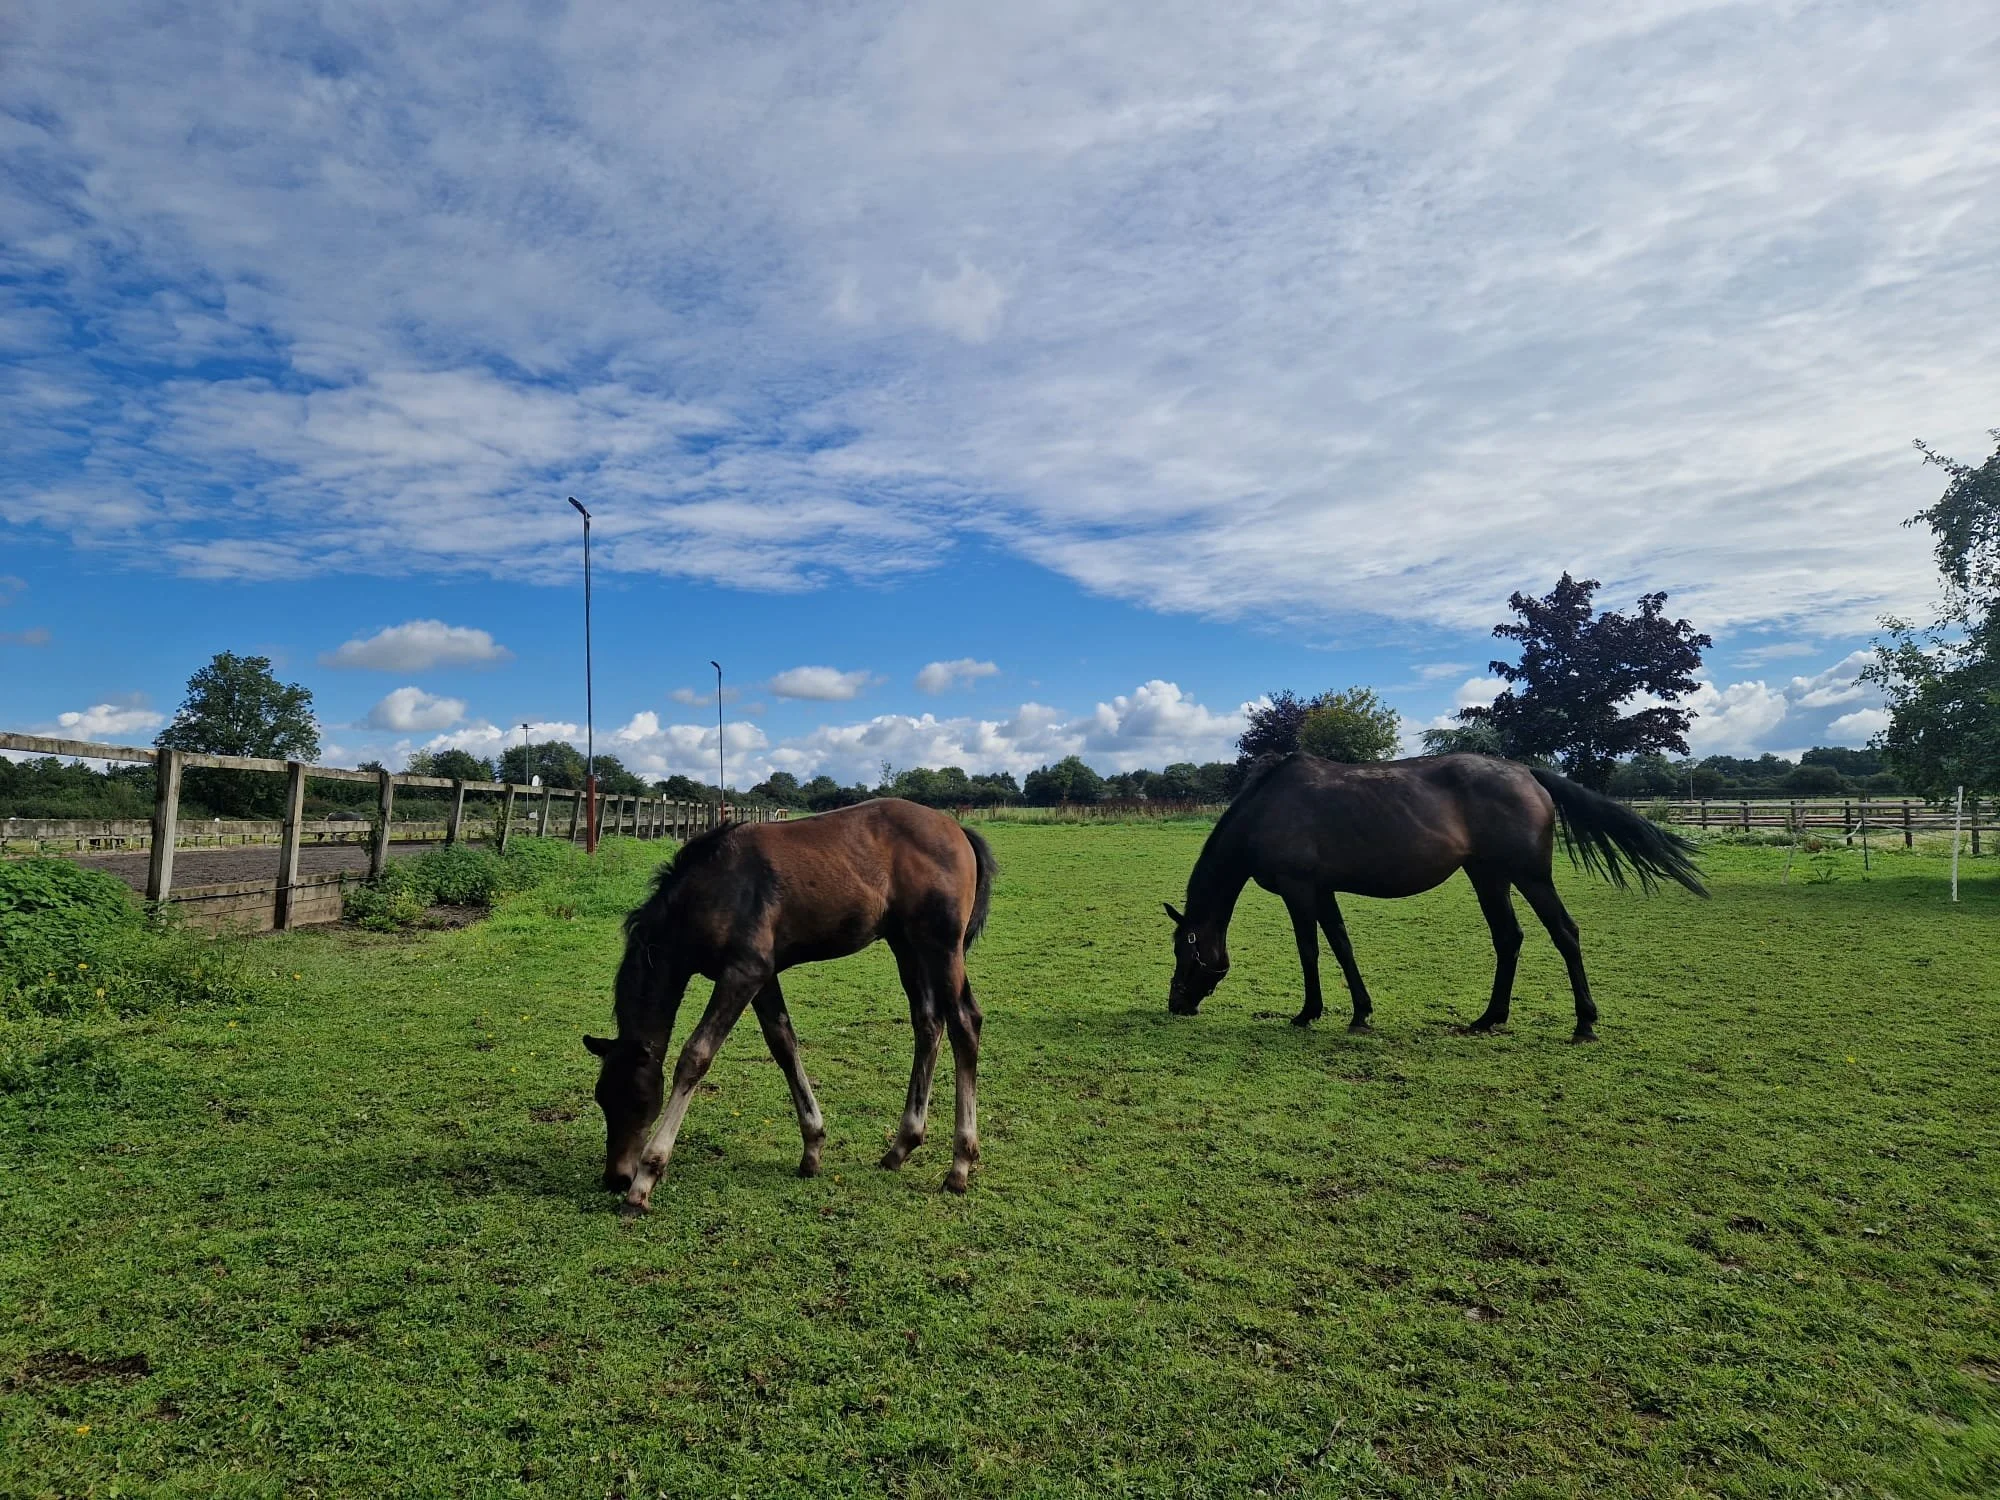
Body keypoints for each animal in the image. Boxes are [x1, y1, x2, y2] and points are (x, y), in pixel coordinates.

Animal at [586, 797, 996, 1210]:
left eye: (637, 1100)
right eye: (602, 1099)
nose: (616, 1177)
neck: (710, 890)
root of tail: (957, 829)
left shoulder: (743, 972)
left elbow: (695, 1056)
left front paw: (647, 1176)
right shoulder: (763, 975)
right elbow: (782, 1043)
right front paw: (812, 1148)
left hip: (942, 946)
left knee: (965, 1021)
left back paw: (959, 1165)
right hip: (907, 945)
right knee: (928, 1023)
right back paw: (901, 1146)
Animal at [1163, 752, 1704, 1041]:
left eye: (1182, 950)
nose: (1176, 1005)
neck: (1269, 808)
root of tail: (1528, 773)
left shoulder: (1299, 890)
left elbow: (1310, 950)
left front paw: (1307, 1013)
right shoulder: (1323, 890)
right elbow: (1341, 944)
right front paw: (1361, 1013)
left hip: (1529, 876)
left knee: (1564, 933)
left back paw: (1584, 1025)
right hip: (1488, 876)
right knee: (1509, 938)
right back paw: (1489, 1018)